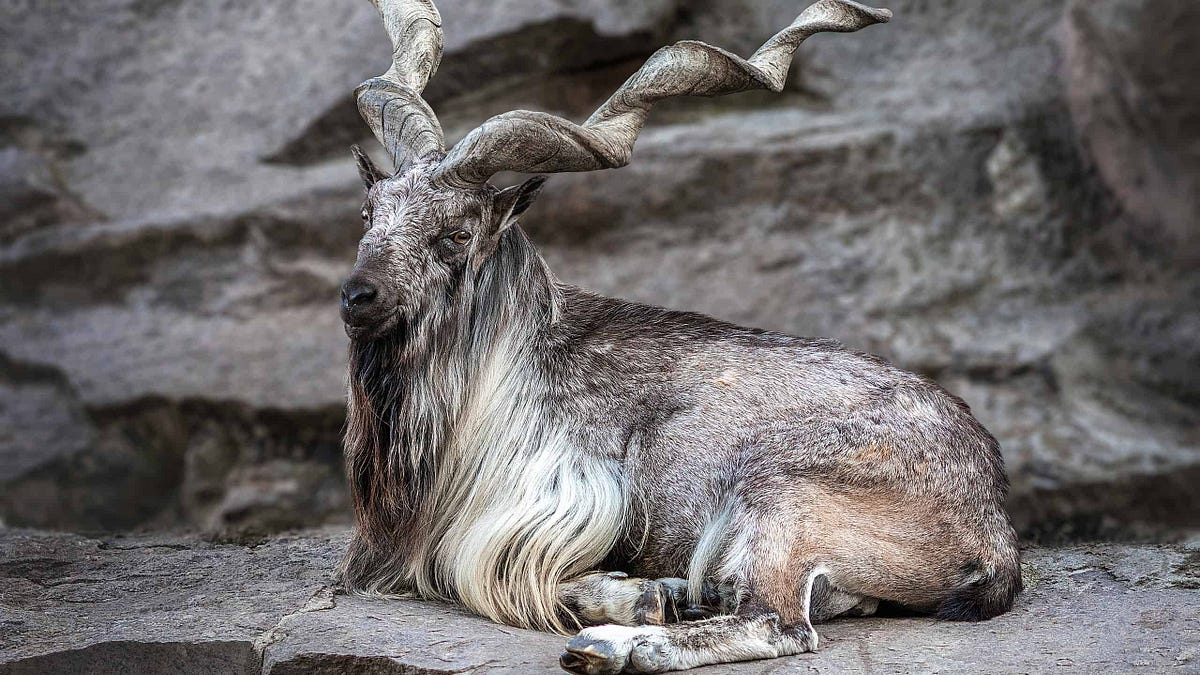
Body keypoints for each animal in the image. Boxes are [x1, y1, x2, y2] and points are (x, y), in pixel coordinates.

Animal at [336, 2, 1022, 667]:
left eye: (455, 234)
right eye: (370, 214)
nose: (357, 296)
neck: (511, 365)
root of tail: (993, 528)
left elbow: (472, 575)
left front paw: (628, 601)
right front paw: (643, 594)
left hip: (781, 497)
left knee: (777, 623)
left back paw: (616, 644)